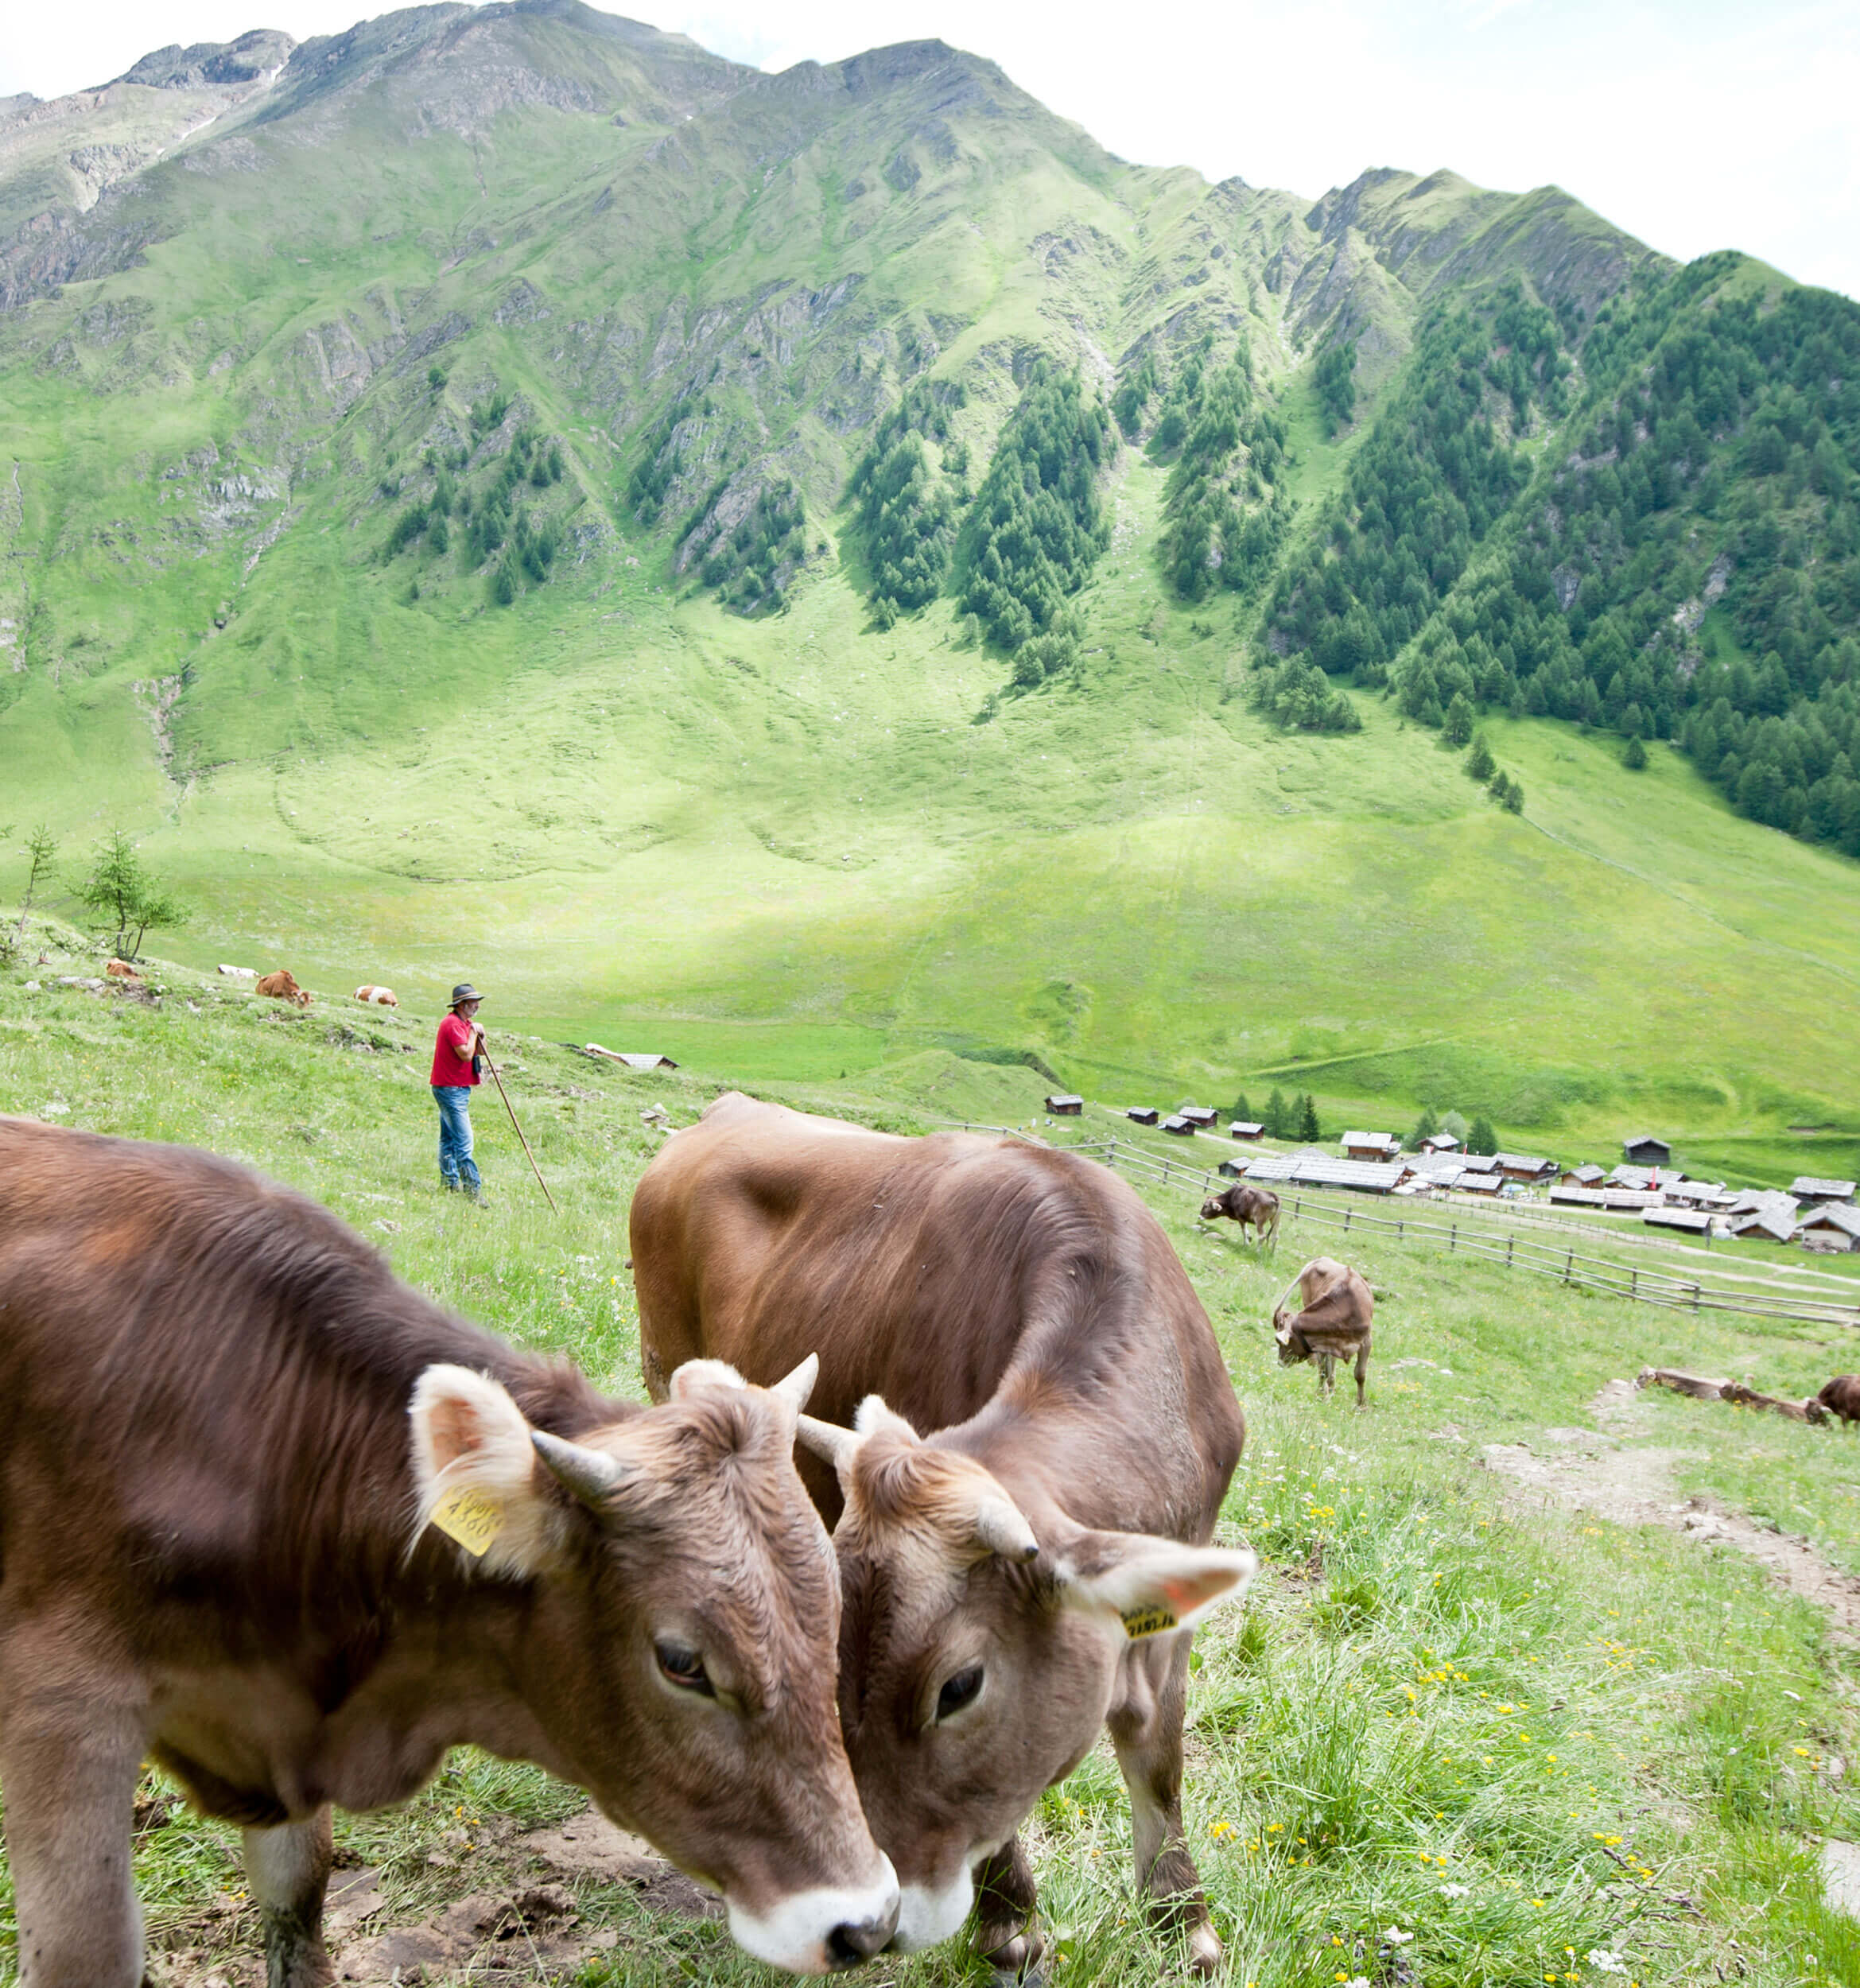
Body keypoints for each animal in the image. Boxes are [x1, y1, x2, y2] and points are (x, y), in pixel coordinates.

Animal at [0, 1118, 900, 1986]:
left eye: (831, 1615)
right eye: (681, 1662)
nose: (864, 1922)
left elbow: (299, 1908)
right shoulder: (62, 1710)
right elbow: (89, 1954)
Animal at [1271, 1256, 1375, 1406]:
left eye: (1282, 1343)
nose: (1280, 1362)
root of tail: (1320, 1259)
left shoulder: (1366, 1341)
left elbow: (1360, 1374)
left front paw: (1361, 1405)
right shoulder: (1320, 1341)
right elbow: (1324, 1370)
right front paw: (1321, 1395)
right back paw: (1329, 1388)